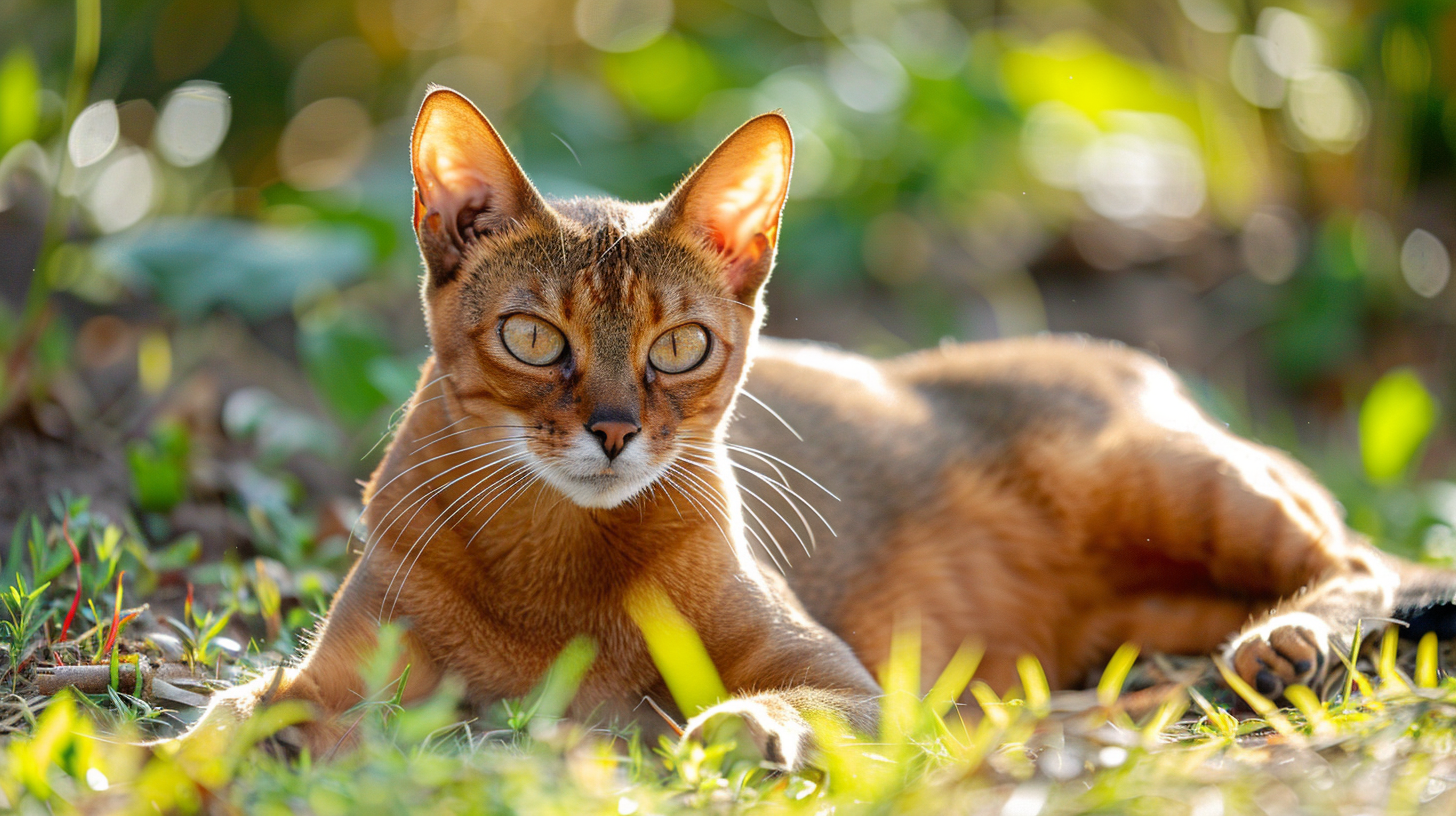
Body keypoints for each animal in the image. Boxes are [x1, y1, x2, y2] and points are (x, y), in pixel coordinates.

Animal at [182, 89, 1456, 769]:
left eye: (680, 347)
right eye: (535, 338)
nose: (612, 433)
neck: (553, 572)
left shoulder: (849, 680)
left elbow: (776, 704)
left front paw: (738, 731)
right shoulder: (334, 673)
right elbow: (238, 713)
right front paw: (222, 752)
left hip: (1167, 480)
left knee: (1369, 555)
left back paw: (1288, 643)